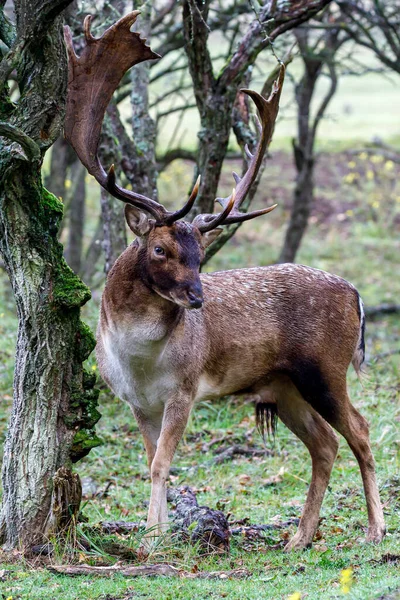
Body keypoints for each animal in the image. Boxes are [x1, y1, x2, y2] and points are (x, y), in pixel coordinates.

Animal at [64, 10, 386, 552]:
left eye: (200, 253)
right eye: (161, 249)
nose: (198, 298)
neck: (136, 360)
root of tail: (357, 295)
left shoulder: (185, 389)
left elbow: (161, 463)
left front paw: (153, 538)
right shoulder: (136, 402)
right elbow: (150, 460)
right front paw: (159, 532)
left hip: (324, 368)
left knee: (360, 431)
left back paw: (375, 529)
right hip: (283, 386)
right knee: (324, 444)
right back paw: (298, 538)